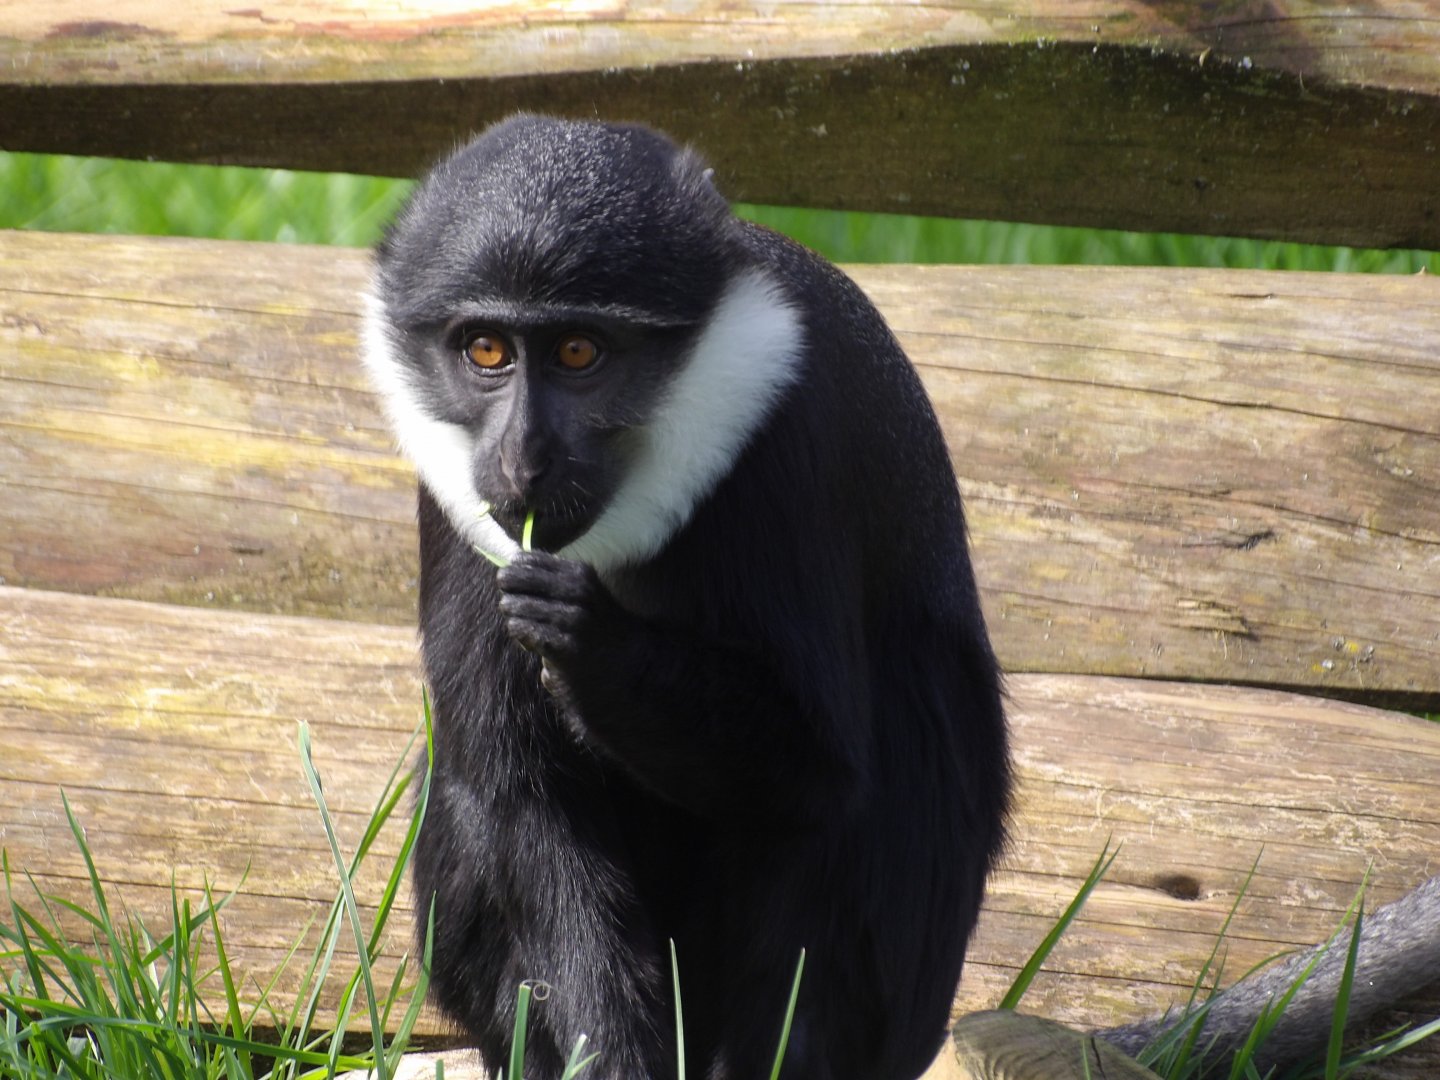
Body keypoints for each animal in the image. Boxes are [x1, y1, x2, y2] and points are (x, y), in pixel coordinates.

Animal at [361, 114, 1010, 1080]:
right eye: (486, 350)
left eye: (579, 352)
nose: (523, 459)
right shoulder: (462, 506)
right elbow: (521, 801)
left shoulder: (785, 438)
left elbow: (816, 768)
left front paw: (588, 643)